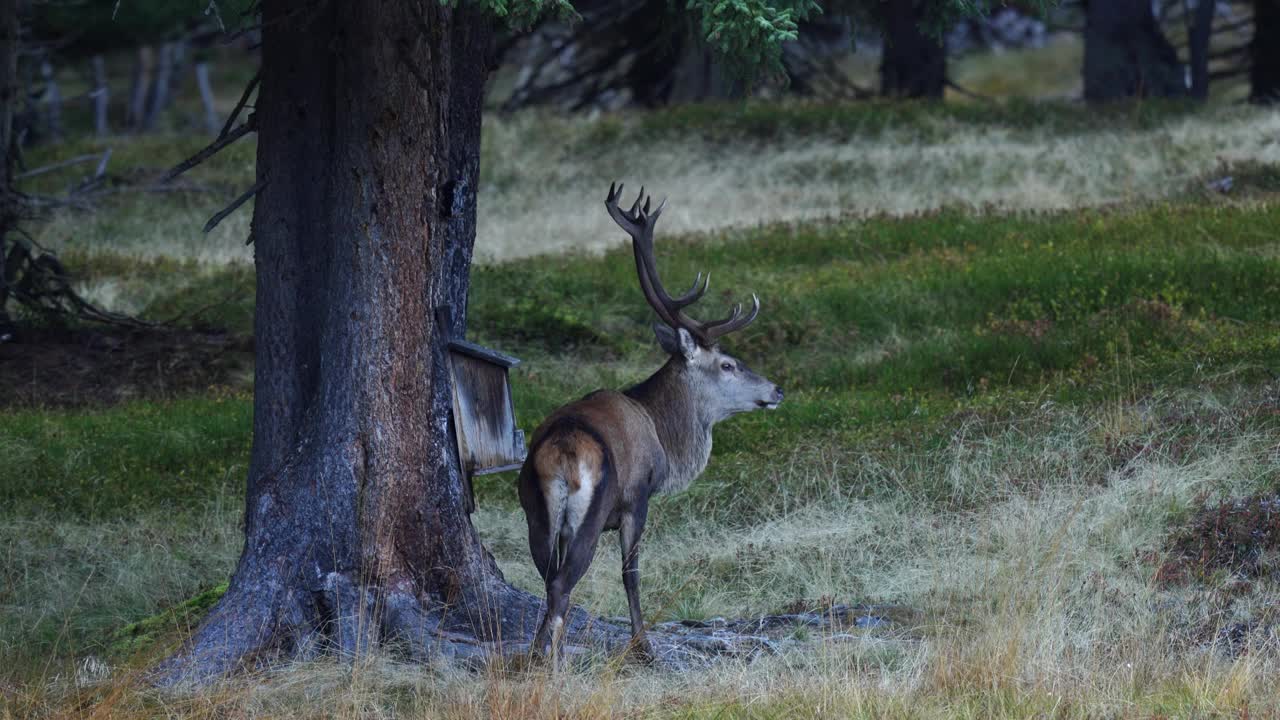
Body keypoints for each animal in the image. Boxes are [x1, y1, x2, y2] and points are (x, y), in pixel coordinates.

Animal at [517, 181, 778, 661]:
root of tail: (562, 452)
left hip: (534, 509)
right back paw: (554, 660)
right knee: (563, 583)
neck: (665, 437)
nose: (776, 390)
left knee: (547, 578)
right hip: (591, 510)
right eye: (728, 364)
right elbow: (631, 573)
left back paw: (532, 654)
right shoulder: (638, 498)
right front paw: (643, 645)